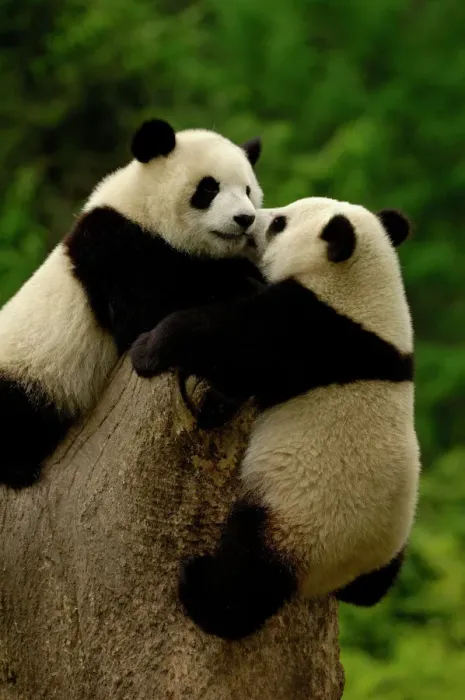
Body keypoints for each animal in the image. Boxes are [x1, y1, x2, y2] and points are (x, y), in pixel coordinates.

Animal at [0, 118, 264, 490]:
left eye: (248, 190)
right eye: (208, 188)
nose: (245, 218)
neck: (143, 209)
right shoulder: (115, 249)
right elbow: (146, 313)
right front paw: (240, 284)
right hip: (26, 373)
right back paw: (18, 469)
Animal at [129, 196, 421, 640]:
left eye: (279, 223)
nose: (249, 220)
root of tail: (337, 575)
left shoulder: (313, 330)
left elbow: (230, 343)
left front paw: (148, 348)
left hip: (291, 523)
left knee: (244, 577)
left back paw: (200, 588)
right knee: (375, 588)